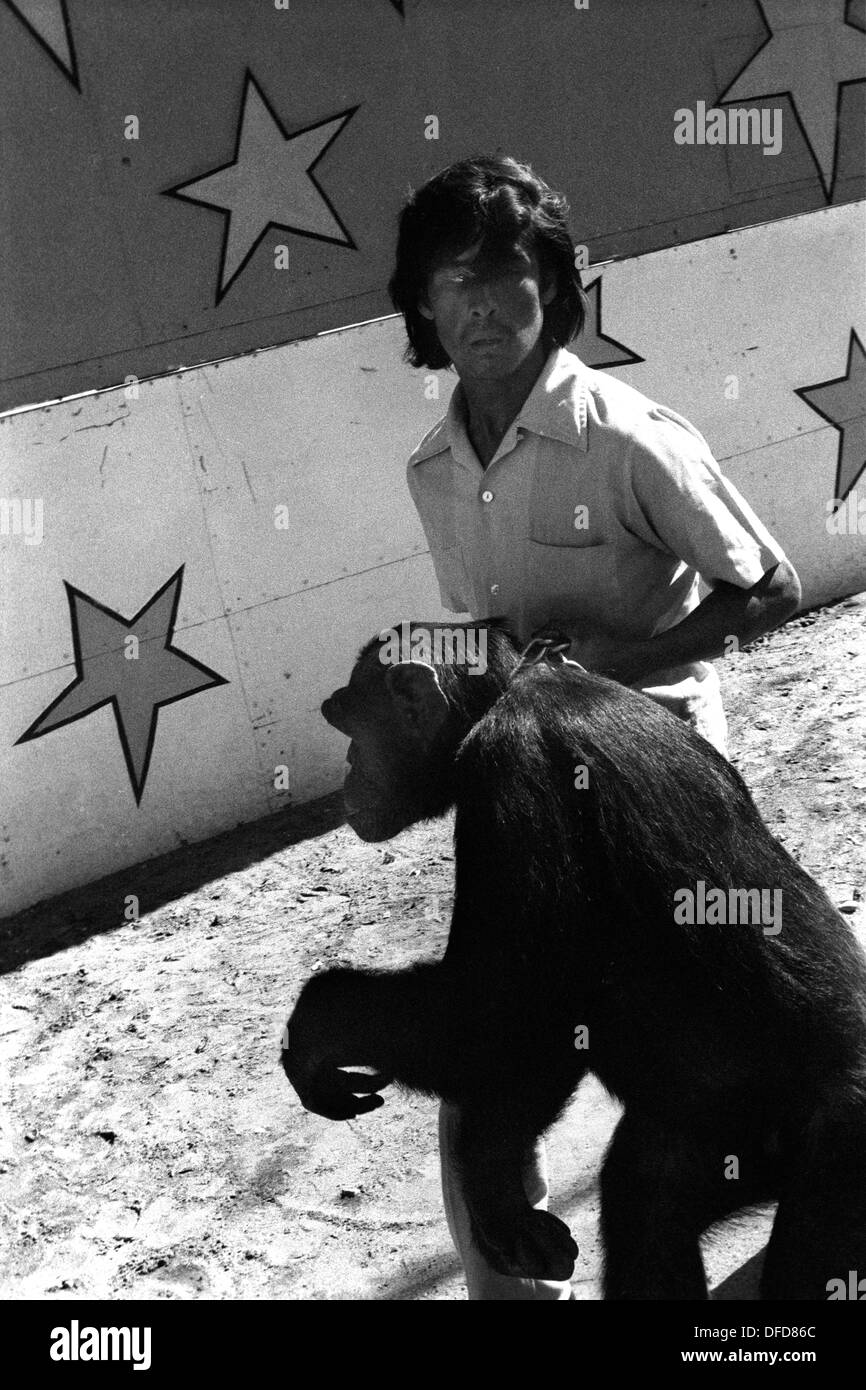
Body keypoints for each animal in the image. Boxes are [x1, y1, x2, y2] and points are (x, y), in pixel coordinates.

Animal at [283, 625, 866, 1295]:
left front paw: (318, 1029)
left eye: (350, 722)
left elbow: (507, 1007)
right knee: (646, 1197)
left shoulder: (515, 776)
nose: (349, 765)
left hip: (840, 1157)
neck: (509, 690)